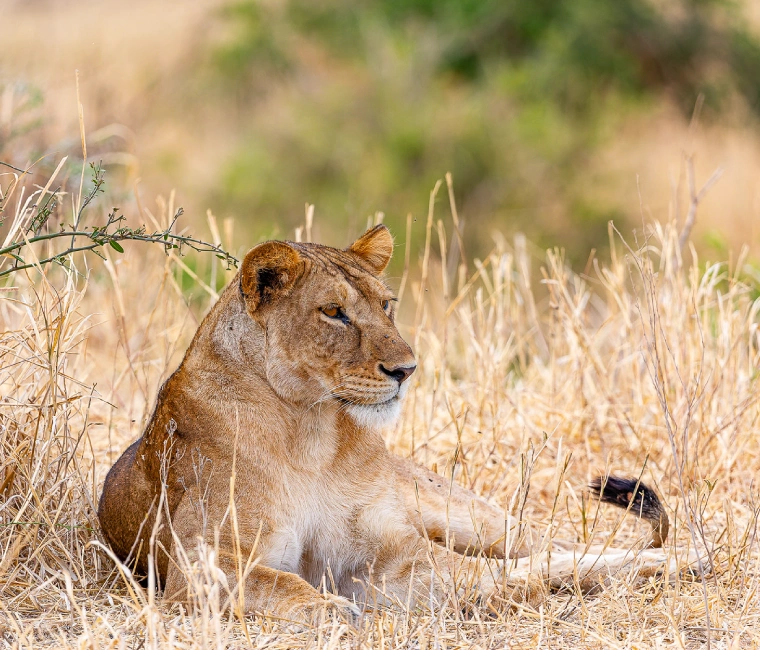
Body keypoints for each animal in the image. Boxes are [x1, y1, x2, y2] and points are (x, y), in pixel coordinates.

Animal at [98, 225, 675, 622]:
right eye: (333, 312)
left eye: (386, 305)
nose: (406, 370)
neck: (308, 430)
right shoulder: (196, 564)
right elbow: (275, 583)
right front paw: (331, 611)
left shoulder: (385, 553)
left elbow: (477, 572)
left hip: (460, 510)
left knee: (555, 547)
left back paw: (676, 560)